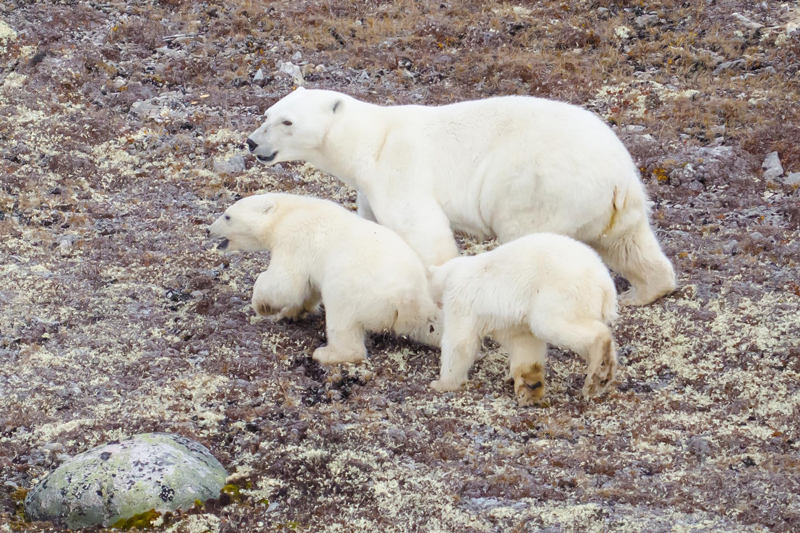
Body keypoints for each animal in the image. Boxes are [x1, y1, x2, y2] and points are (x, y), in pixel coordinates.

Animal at [209, 193, 440, 364]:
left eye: (227, 216)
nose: (208, 229)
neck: (288, 212)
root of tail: (409, 297)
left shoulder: (295, 239)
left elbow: (286, 282)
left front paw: (263, 306)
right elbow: (307, 288)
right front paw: (291, 312)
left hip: (355, 289)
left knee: (342, 319)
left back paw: (326, 353)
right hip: (422, 314)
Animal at [248, 86, 676, 304]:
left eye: (287, 122)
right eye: (267, 113)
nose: (252, 142)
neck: (369, 143)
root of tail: (618, 173)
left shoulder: (401, 170)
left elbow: (424, 231)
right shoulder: (368, 189)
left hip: (537, 188)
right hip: (617, 205)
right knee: (628, 243)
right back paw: (643, 292)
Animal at [432, 232, 620, 404]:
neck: (451, 271)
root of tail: (605, 284)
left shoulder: (461, 298)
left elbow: (460, 342)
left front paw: (442, 383)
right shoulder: (509, 321)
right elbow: (524, 342)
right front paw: (529, 388)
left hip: (563, 293)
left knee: (551, 324)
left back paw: (598, 372)